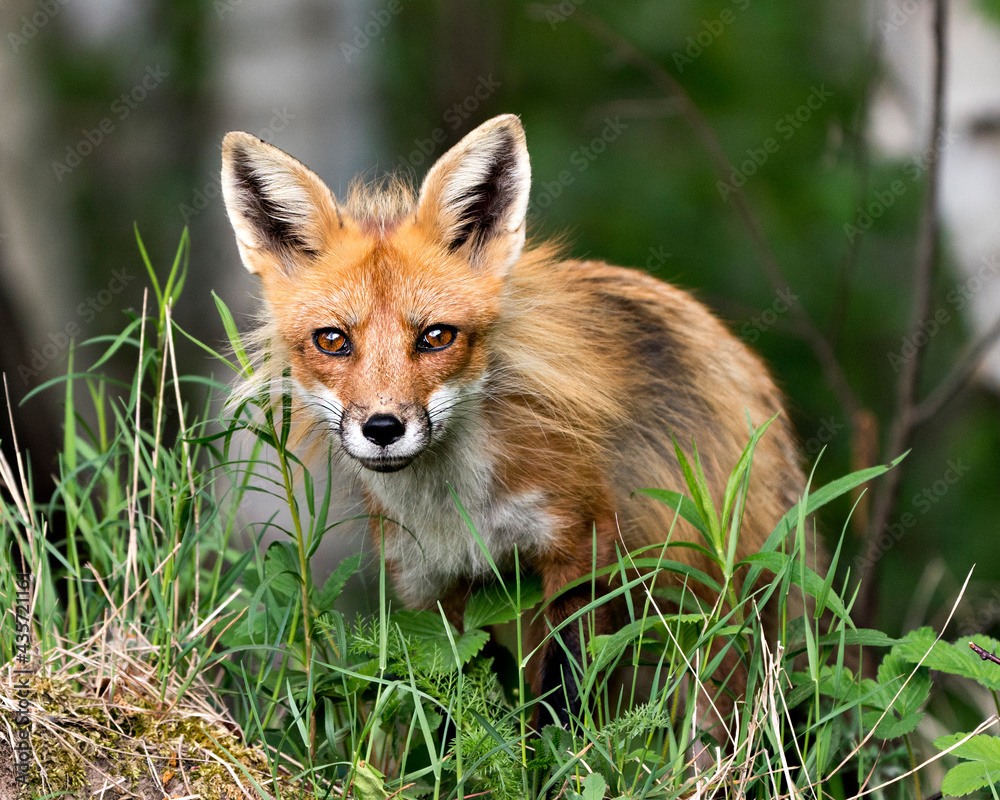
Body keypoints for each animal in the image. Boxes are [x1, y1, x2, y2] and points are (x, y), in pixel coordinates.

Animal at [220, 113, 809, 731]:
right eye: (333, 341)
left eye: (436, 336)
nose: (383, 429)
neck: (457, 509)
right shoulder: (430, 586)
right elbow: (447, 707)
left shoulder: (580, 551)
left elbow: (562, 700)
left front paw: (562, 752)